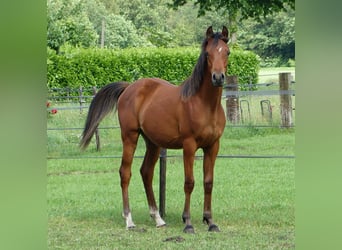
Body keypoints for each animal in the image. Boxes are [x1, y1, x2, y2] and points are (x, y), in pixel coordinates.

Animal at [80, 26, 230, 233]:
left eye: (227, 52)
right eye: (207, 54)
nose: (218, 77)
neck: (204, 105)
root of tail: (129, 87)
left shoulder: (213, 146)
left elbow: (208, 182)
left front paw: (210, 221)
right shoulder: (189, 146)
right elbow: (189, 182)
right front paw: (188, 222)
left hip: (152, 142)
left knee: (146, 172)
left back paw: (158, 218)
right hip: (130, 137)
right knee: (125, 173)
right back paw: (129, 219)